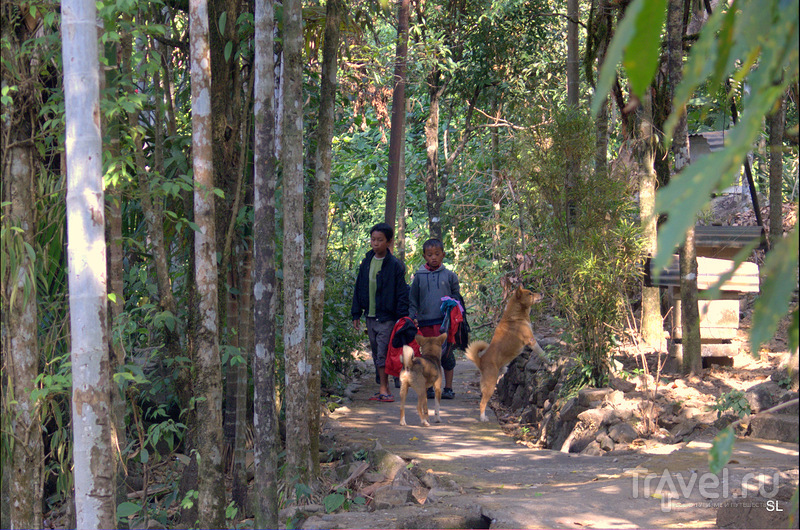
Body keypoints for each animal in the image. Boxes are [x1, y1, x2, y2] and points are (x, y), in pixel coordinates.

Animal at [462, 284, 544, 420]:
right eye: (530, 294)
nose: (542, 293)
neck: (516, 316)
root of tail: (480, 361)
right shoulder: (531, 340)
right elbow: (543, 354)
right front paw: (551, 361)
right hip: (490, 385)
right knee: (482, 403)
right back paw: (483, 418)